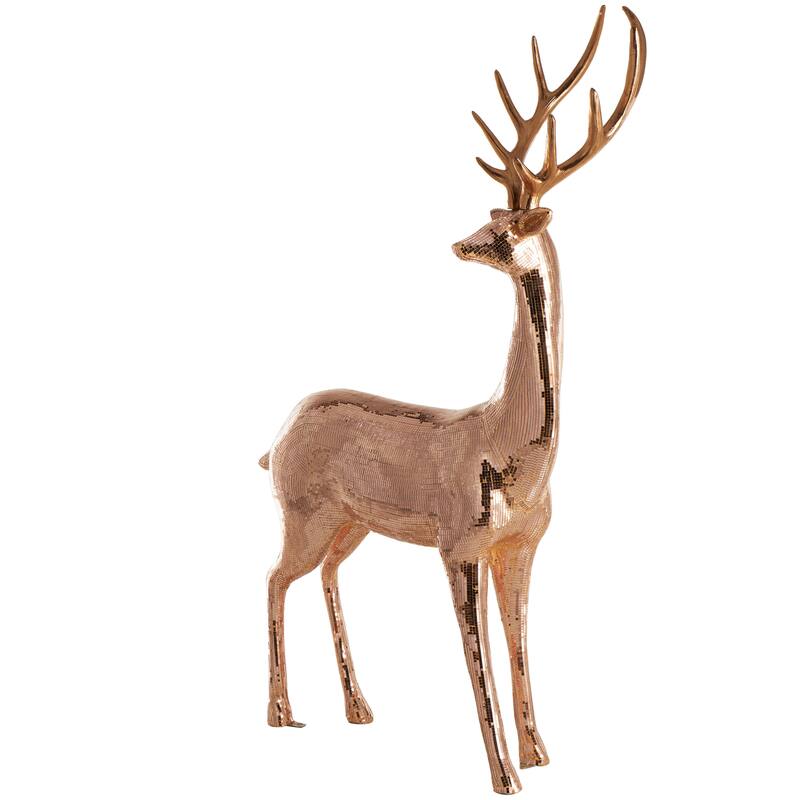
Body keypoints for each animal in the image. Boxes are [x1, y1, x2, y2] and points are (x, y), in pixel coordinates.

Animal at [261, 6, 646, 794]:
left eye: (502, 228)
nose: (459, 243)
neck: (513, 450)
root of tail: (275, 436)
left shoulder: (520, 547)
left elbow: (519, 642)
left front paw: (539, 754)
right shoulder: (456, 546)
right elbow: (479, 659)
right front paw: (504, 775)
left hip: (350, 523)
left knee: (324, 577)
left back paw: (358, 708)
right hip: (302, 513)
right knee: (272, 579)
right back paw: (282, 714)